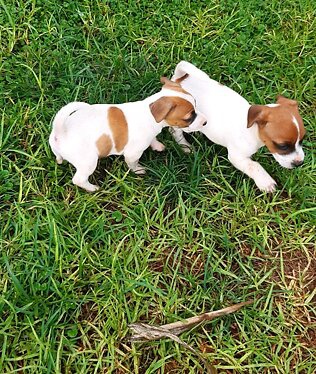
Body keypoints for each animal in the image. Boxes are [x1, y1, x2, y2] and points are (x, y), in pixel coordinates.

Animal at [48, 77, 207, 191]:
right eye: (189, 117)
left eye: (196, 105)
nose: (205, 121)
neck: (149, 114)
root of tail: (61, 132)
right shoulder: (133, 153)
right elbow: (133, 163)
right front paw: (138, 170)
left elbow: (153, 139)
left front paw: (157, 145)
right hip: (88, 162)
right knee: (79, 179)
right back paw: (92, 188)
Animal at [170, 60, 306, 193]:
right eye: (282, 146)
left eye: (302, 140)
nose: (299, 163)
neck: (252, 130)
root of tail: (179, 80)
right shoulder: (236, 157)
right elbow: (254, 165)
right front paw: (265, 182)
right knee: (175, 132)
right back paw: (185, 146)